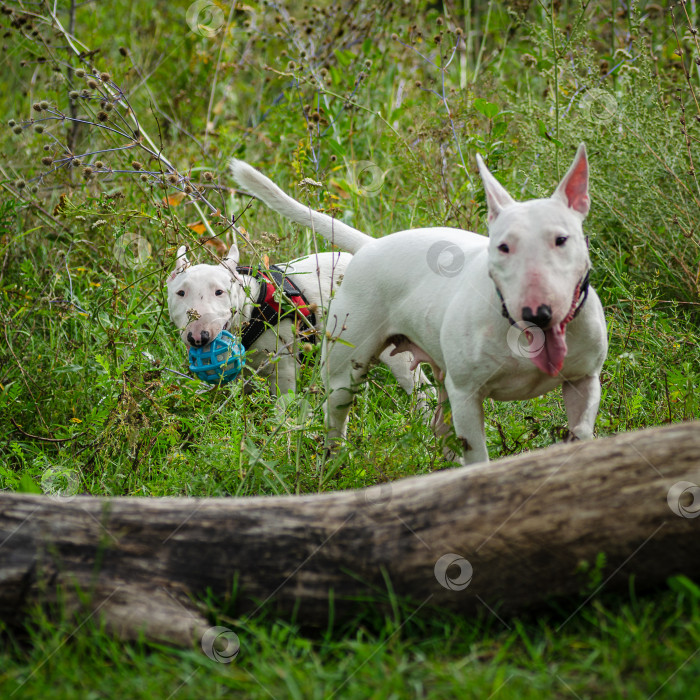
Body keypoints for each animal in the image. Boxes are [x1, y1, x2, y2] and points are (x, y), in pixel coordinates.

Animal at [232, 146, 608, 464]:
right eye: (503, 247)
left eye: (561, 240)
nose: (536, 312)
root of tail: (373, 244)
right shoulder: (467, 396)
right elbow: (478, 457)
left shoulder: (585, 383)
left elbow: (581, 432)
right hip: (344, 372)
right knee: (336, 417)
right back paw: (333, 464)